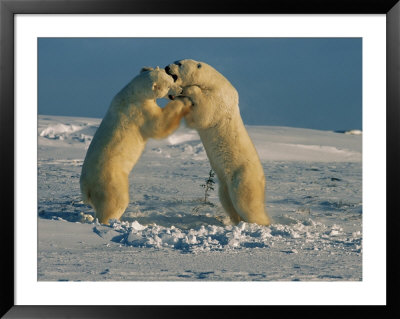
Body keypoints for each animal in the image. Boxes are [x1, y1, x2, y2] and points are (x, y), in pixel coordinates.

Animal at [80, 67, 192, 225]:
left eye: (172, 79)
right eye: (169, 85)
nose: (181, 90)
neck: (134, 92)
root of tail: (86, 187)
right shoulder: (140, 111)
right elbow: (159, 125)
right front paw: (185, 101)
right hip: (111, 180)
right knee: (116, 202)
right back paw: (111, 221)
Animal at [164, 58, 270, 226]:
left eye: (179, 63)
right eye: (175, 61)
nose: (167, 67)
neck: (212, 81)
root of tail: (262, 180)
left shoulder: (218, 97)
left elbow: (204, 113)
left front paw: (190, 90)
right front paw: (175, 95)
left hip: (243, 177)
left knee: (246, 203)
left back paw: (260, 222)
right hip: (225, 184)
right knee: (227, 201)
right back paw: (235, 221)